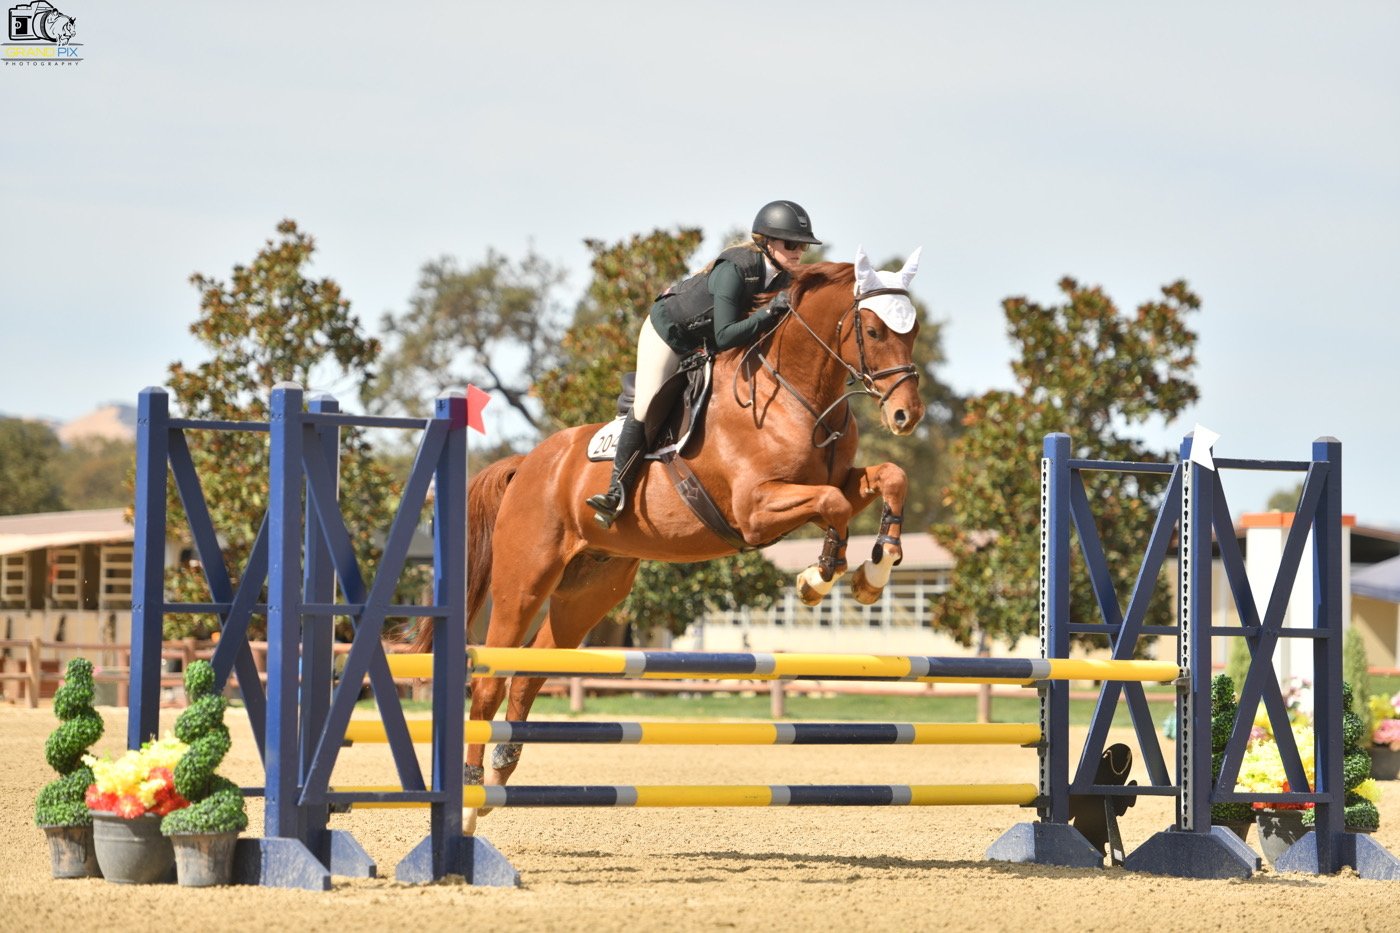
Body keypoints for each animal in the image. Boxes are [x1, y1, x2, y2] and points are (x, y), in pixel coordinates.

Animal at [419, 247, 927, 818]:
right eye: (873, 329)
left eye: (912, 330)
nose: (906, 415)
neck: (796, 395)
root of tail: (527, 463)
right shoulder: (755, 509)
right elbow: (834, 506)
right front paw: (818, 579)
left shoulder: (831, 483)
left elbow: (888, 478)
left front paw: (874, 570)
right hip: (524, 580)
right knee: (489, 681)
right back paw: (469, 794)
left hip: (588, 592)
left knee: (530, 673)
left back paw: (501, 772)